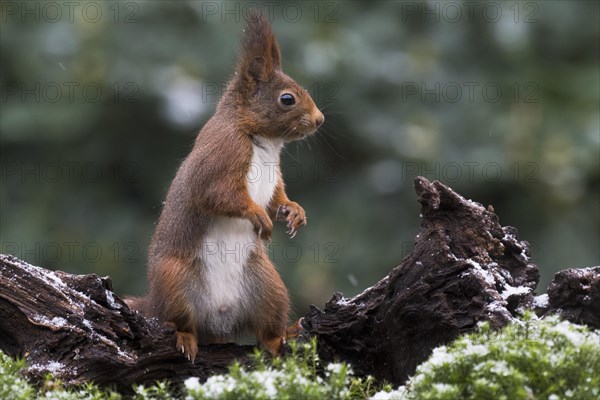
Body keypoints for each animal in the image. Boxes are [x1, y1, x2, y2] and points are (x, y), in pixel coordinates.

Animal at [125, 12, 324, 362]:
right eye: (287, 99)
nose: (320, 119)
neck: (264, 142)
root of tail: (218, 320)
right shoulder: (222, 157)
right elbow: (217, 194)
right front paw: (258, 216)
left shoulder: (274, 177)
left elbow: (277, 197)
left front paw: (294, 211)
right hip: (175, 281)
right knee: (178, 321)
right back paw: (185, 337)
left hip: (268, 287)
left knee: (266, 331)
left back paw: (283, 335)